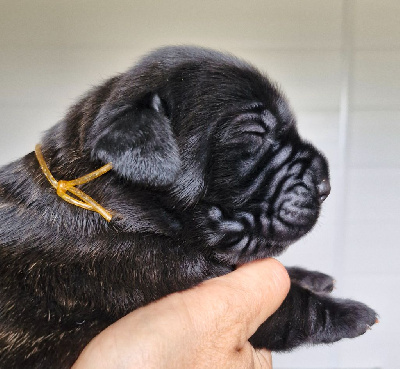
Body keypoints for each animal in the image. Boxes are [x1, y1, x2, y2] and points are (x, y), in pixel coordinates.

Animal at [0, 47, 376, 366]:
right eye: (254, 135)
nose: (326, 187)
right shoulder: (155, 272)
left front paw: (311, 276)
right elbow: (291, 308)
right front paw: (351, 313)